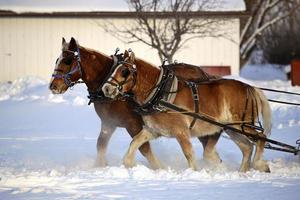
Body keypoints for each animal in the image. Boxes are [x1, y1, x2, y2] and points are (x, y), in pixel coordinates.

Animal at [49, 37, 221, 169]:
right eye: (57, 60)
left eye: (68, 60)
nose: (53, 86)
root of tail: (205, 74)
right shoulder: (109, 123)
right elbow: (101, 145)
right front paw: (99, 166)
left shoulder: (133, 124)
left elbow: (144, 149)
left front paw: (159, 168)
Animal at [102, 50, 274, 172]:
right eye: (113, 68)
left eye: (124, 71)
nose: (106, 88)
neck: (160, 92)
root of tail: (249, 87)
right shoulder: (153, 130)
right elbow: (135, 142)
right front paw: (128, 164)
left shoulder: (181, 132)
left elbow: (189, 154)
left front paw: (194, 172)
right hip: (231, 128)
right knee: (247, 147)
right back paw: (242, 172)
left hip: (243, 124)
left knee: (261, 137)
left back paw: (259, 164)